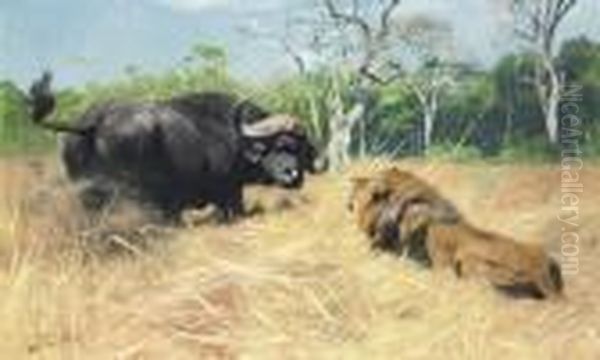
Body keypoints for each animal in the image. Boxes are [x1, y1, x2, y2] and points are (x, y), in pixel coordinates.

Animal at [27, 71, 322, 219]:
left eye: (299, 148)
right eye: (280, 145)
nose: (293, 174)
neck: (238, 138)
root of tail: (94, 122)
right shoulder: (228, 193)